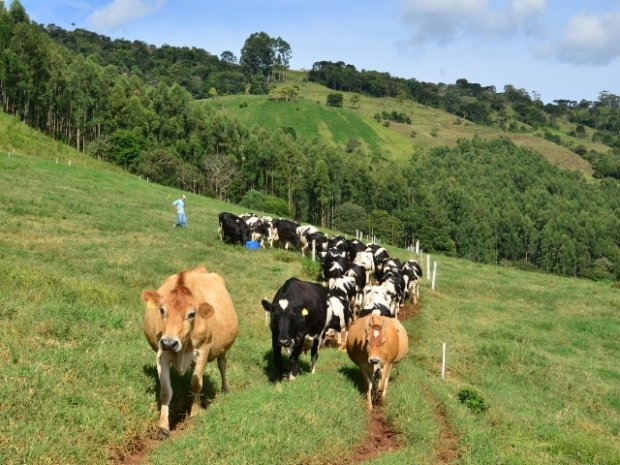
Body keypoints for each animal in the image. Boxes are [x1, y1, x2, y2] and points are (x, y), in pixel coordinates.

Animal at [142, 264, 239, 436]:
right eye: (162, 310)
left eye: (192, 314)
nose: (169, 342)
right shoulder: (162, 353)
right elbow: (166, 391)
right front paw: (163, 426)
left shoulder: (203, 350)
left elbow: (196, 383)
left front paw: (195, 413)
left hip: (223, 348)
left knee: (222, 365)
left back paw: (225, 390)